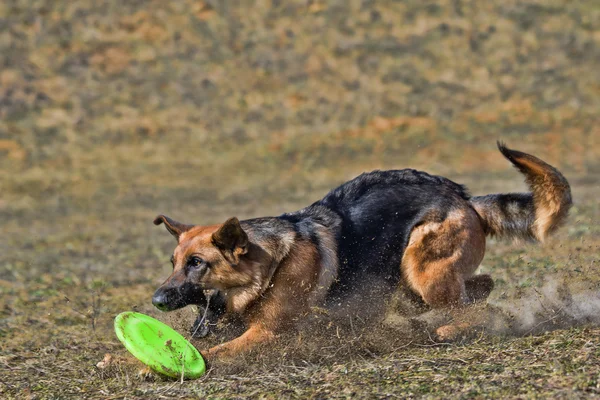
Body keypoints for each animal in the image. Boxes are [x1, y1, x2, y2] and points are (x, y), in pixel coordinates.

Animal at [150, 143, 572, 360]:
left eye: (197, 264)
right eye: (173, 263)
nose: (155, 301)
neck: (267, 266)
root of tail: (464, 198)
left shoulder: (267, 332)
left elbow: (215, 353)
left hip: (422, 271)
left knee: (472, 306)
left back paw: (452, 329)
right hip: (408, 285)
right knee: (483, 286)